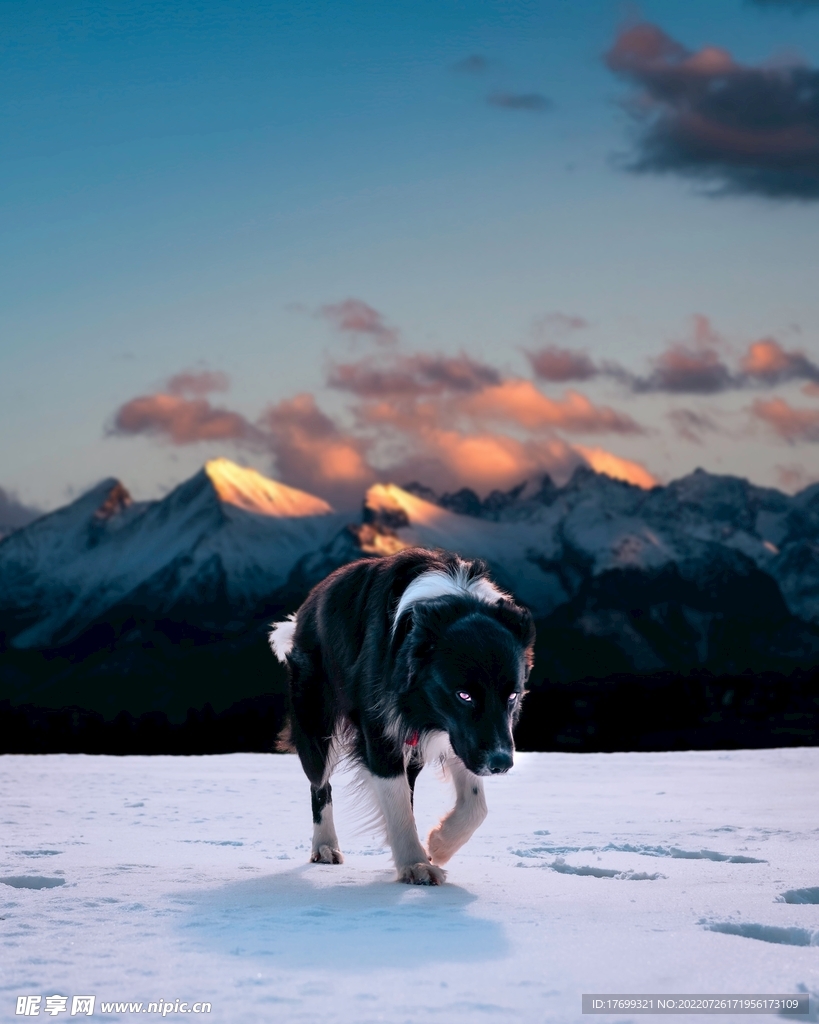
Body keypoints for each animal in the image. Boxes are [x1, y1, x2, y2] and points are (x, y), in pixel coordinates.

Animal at [270, 548, 536, 884]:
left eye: (512, 696)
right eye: (464, 695)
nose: (501, 764)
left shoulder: (456, 734)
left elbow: (476, 804)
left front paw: (439, 844)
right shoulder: (383, 728)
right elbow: (396, 804)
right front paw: (416, 865)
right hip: (315, 719)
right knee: (320, 783)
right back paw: (325, 847)